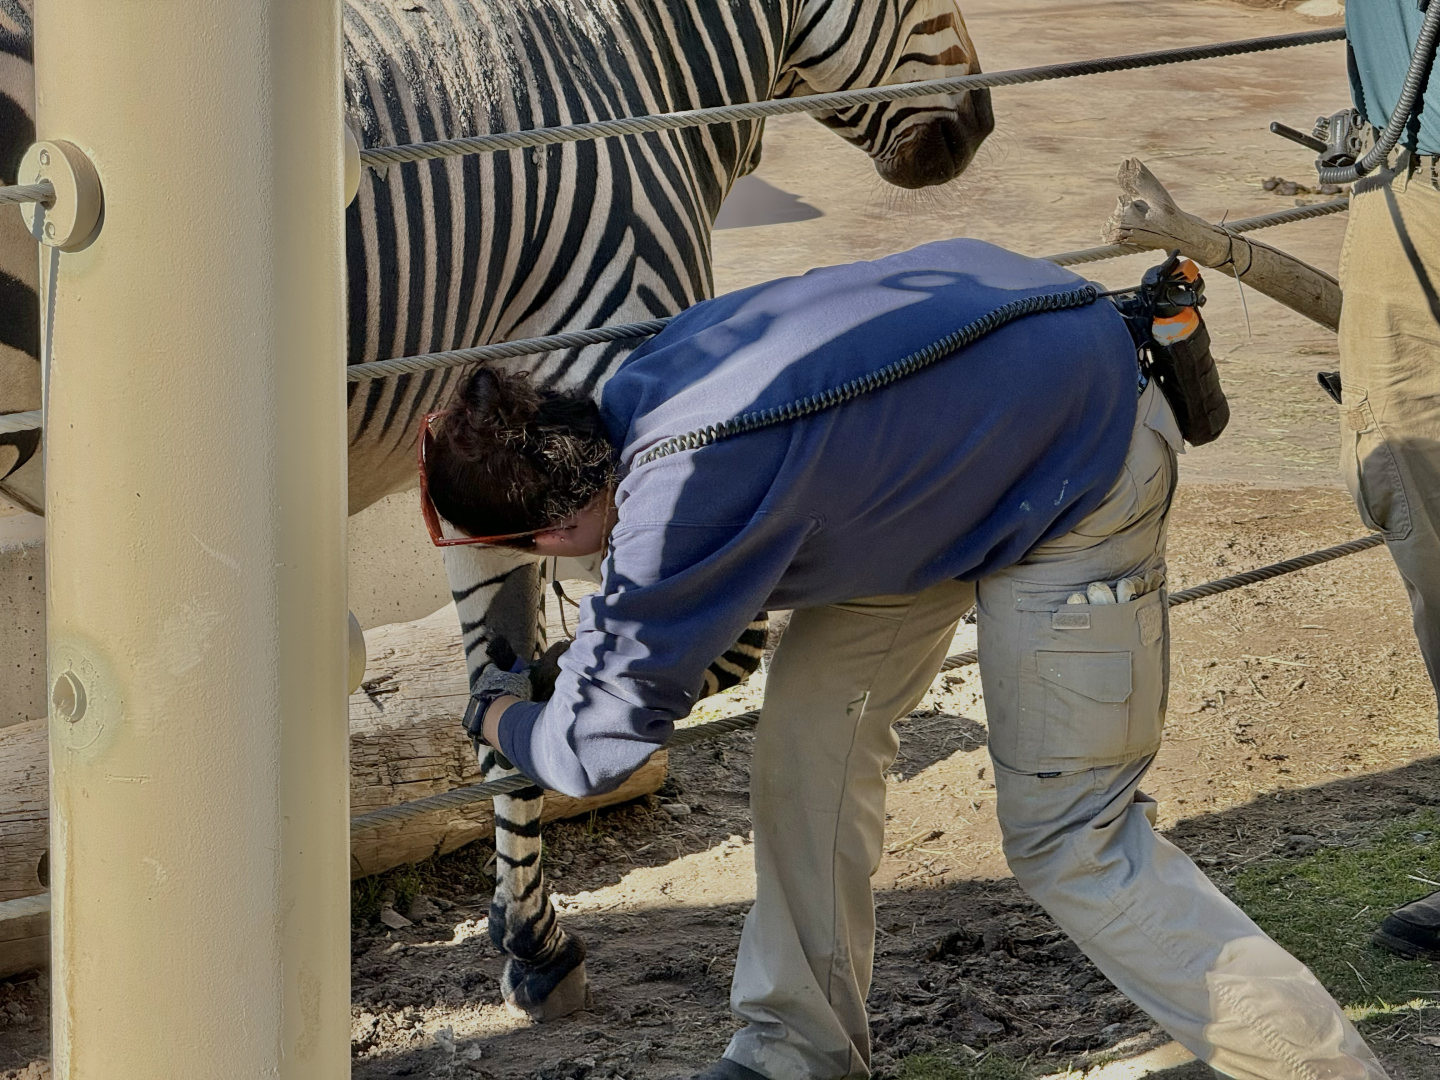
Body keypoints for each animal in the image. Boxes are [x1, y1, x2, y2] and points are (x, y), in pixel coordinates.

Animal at [0, 0, 992, 1022]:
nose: (982, 123)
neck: (641, 69)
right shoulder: (606, 362)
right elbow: (702, 650)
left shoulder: (478, 456)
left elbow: (500, 706)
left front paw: (529, 938)